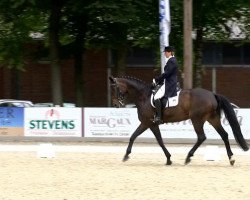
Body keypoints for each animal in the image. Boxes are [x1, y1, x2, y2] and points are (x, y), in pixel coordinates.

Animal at [108, 76, 249, 165]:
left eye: (115, 89)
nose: (115, 105)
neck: (143, 96)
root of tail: (212, 94)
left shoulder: (146, 122)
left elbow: (134, 136)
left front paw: (126, 155)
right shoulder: (152, 124)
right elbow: (159, 140)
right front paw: (168, 159)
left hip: (197, 119)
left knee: (201, 137)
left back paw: (188, 157)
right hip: (212, 118)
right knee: (224, 135)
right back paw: (231, 158)